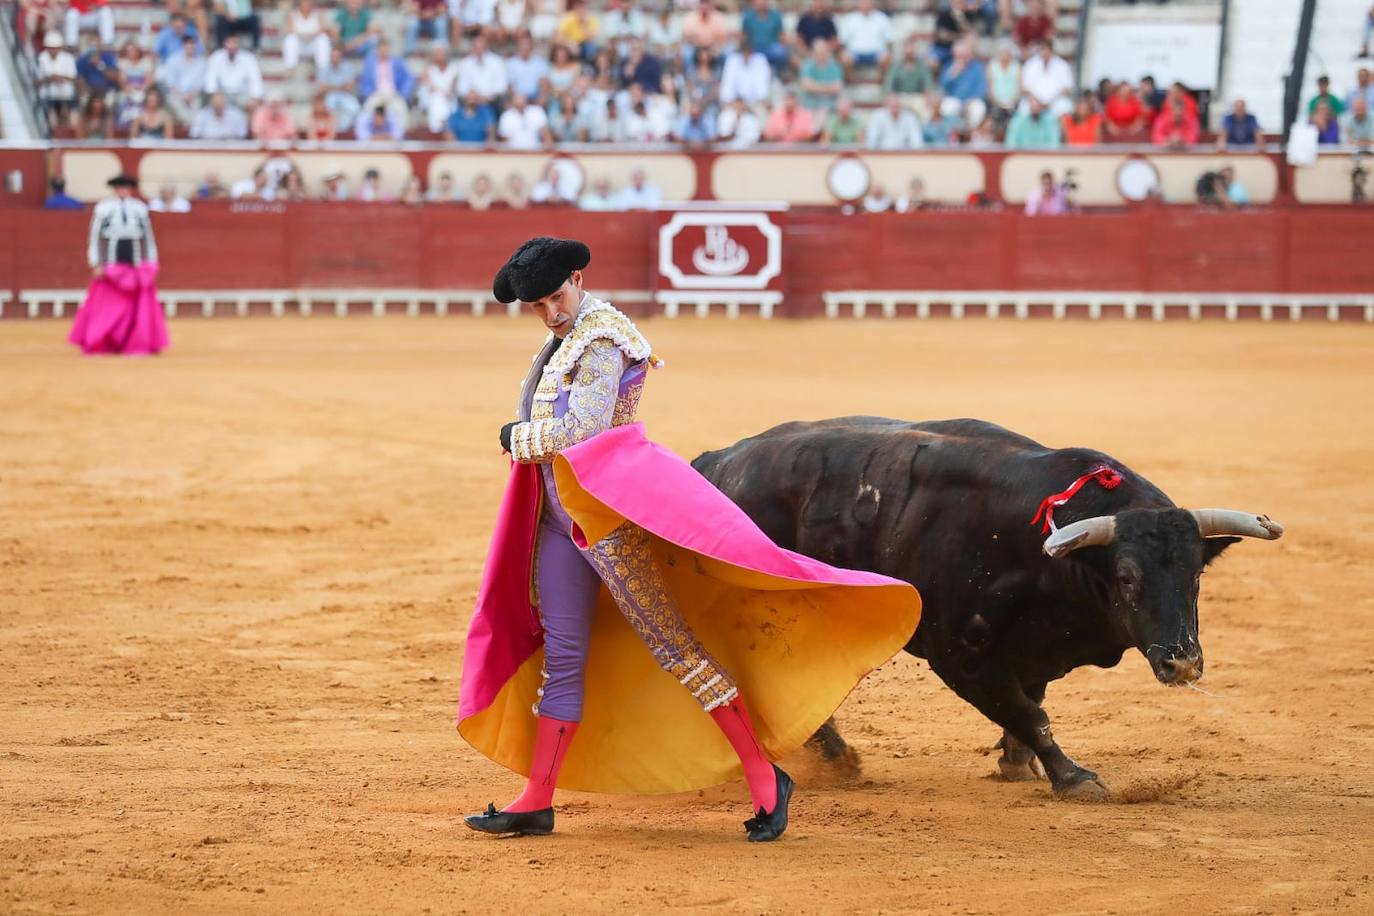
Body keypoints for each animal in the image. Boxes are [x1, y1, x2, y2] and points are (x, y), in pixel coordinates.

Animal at [692, 420, 1280, 796]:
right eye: (1128, 576)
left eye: (1195, 575)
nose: (1183, 663)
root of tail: (714, 462)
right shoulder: (961, 658)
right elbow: (1029, 713)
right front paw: (1073, 777)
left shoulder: (1034, 649)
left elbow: (1030, 702)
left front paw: (1016, 761)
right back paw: (836, 760)